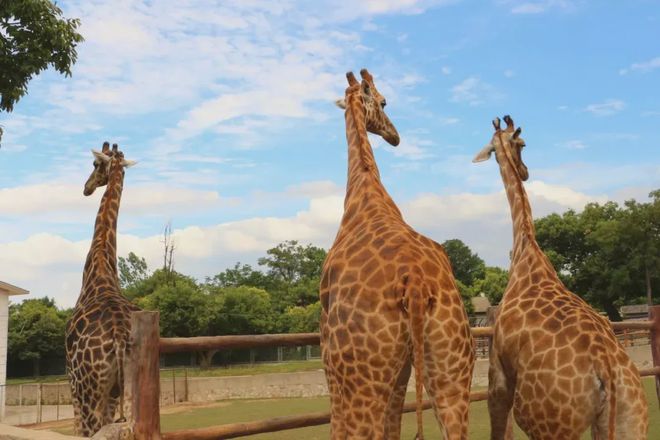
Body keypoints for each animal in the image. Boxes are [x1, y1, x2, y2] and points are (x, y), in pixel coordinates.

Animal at [65, 142, 139, 436]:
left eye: (95, 164)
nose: (86, 187)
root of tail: (118, 337)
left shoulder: (71, 382)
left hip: (90, 391)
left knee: (90, 429)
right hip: (130, 390)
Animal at [320, 69, 474, 440]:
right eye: (386, 102)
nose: (394, 136)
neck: (366, 192)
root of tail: (414, 281)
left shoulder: (327, 353)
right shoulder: (402, 367)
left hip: (361, 377)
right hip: (451, 369)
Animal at [472, 115, 648, 438]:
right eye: (521, 144)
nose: (525, 171)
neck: (527, 252)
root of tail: (605, 371)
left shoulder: (498, 372)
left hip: (547, 423)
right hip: (630, 418)